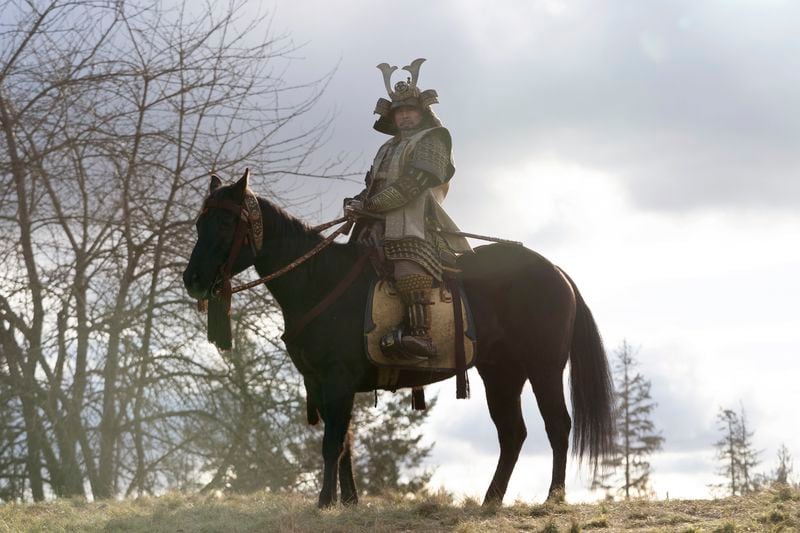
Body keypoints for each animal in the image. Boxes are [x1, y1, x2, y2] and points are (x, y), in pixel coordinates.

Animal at [184, 171, 616, 508]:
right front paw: (348, 502)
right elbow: (345, 443)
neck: (318, 279)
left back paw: (553, 498)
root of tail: (555, 270)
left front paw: (324, 503)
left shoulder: (337, 382)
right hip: (501, 373)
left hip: (544, 367)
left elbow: (331, 443)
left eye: (225, 225)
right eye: (199, 224)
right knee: (512, 434)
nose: (192, 279)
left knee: (557, 425)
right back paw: (489, 501)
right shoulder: (325, 385)